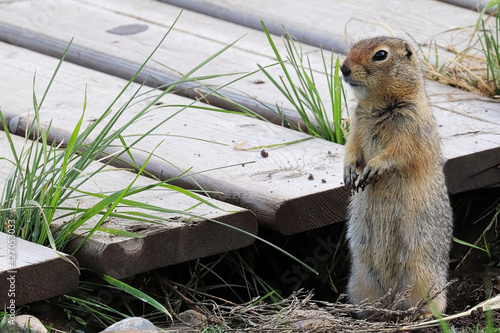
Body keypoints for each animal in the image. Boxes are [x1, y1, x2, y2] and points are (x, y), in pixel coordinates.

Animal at [340, 37, 454, 316]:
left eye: (381, 55)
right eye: (354, 45)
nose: (343, 68)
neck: (377, 104)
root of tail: (392, 299)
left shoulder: (411, 127)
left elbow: (400, 153)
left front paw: (373, 167)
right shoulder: (356, 126)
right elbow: (351, 148)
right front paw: (350, 173)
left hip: (422, 275)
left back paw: (421, 314)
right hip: (362, 278)